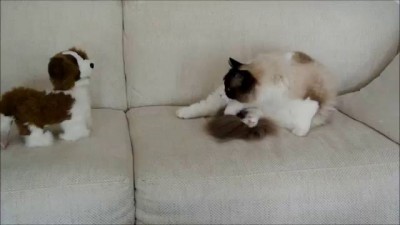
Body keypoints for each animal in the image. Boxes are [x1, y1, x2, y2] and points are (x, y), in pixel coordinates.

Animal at [177, 51, 336, 137]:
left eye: (228, 89)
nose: (223, 93)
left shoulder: (310, 100)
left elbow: (305, 118)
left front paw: (299, 132)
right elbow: (233, 108)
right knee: (203, 107)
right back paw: (181, 113)